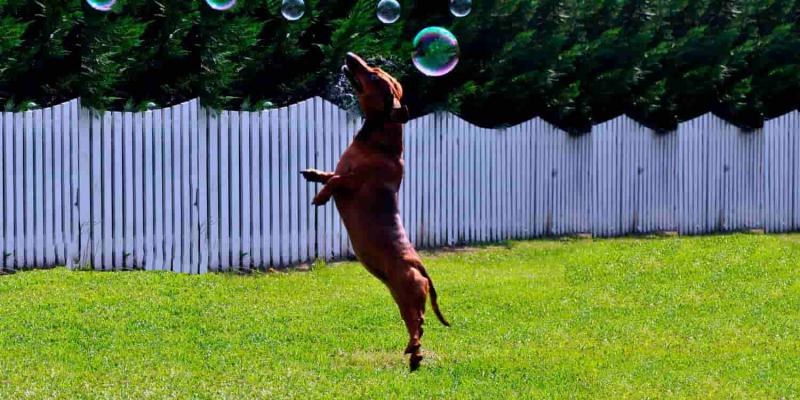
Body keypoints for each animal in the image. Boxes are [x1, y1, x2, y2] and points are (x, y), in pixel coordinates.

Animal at [302, 53, 450, 372]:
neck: (378, 143)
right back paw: (414, 355)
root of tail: (420, 266)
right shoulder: (341, 172)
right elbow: (328, 174)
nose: (349, 56)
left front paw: (321, 196)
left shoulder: (353, 183)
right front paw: (312, 174)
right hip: (400, 297)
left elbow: (335, 180)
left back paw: (414, 351)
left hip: (409, 293)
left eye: (373, 75)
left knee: (420, 323)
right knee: (415, 326)